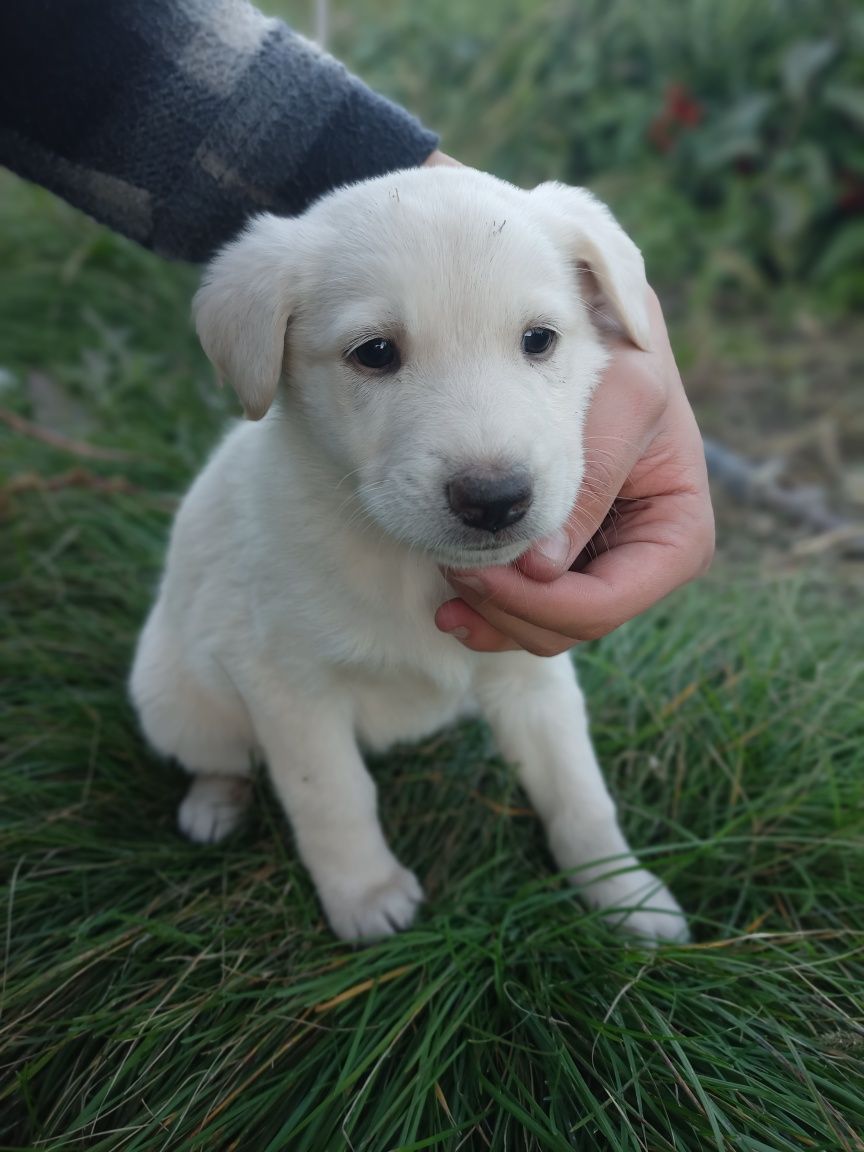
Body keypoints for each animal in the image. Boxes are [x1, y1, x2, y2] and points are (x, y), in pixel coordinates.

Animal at [130, 168, 691, 944]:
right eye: (374, 353)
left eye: (539, 340)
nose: (495, 500)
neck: (404, 562)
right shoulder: (287, 685)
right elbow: (332, 795)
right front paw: (366, 896)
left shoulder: (534, 676)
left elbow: (579, 792)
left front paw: (624, 892)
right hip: (175, 696)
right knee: (220, 757)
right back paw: (214, 804)